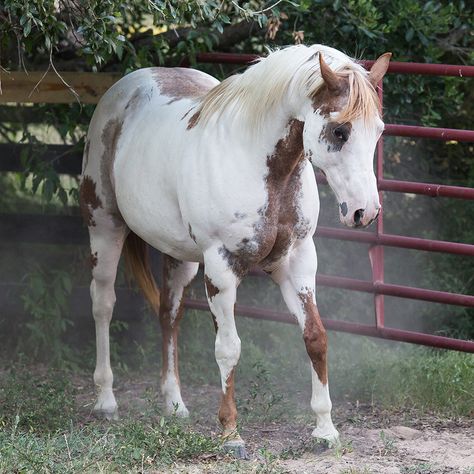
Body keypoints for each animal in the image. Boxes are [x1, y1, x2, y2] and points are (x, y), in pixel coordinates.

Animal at [80, 43, 388, 456]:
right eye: (340, 131)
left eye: (378, 131)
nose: (364, 212)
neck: (259, 165)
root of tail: (122, 90)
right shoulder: (221, 267)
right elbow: (229, 348)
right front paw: (231, 434)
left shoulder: (298, 261)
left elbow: (316, 338)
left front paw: (325, 430)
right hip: (105, 228)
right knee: (103, 305)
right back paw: (106, 400)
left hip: (179, 257)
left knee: (169, 315)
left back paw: (174, 405)